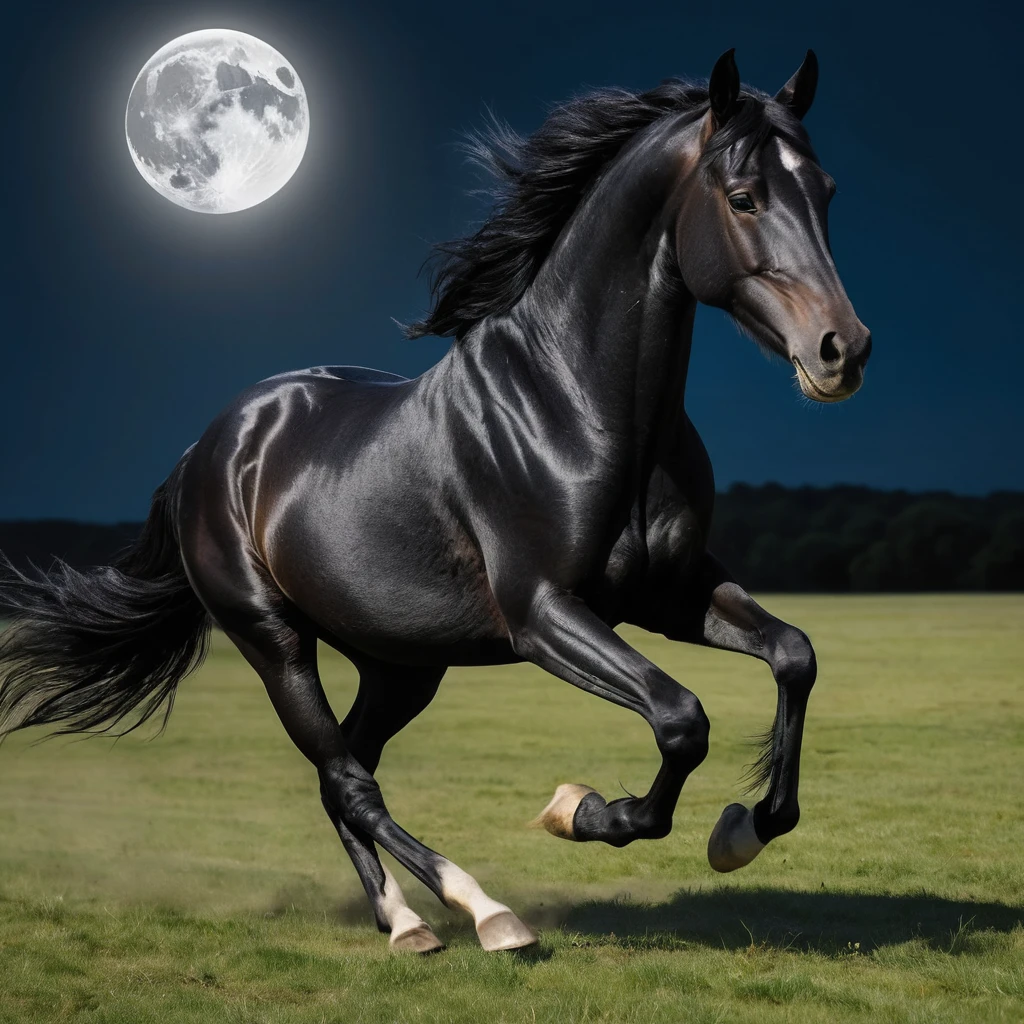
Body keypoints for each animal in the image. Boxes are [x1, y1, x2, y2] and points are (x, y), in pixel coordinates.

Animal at [0, 49, 870, 953]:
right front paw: (580, 811)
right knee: (348, 781)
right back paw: (483, 914)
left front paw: (743, 830)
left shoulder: (668, 593)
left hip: (401, 664)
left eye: (827, 190)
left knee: (346, 772)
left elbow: (794, 655)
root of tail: (209, 449)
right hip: (275, 642)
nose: (842, 350)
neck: (580, 404)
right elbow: (680, 718)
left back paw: (407, 922)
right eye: (743, 196)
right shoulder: (543, 615)